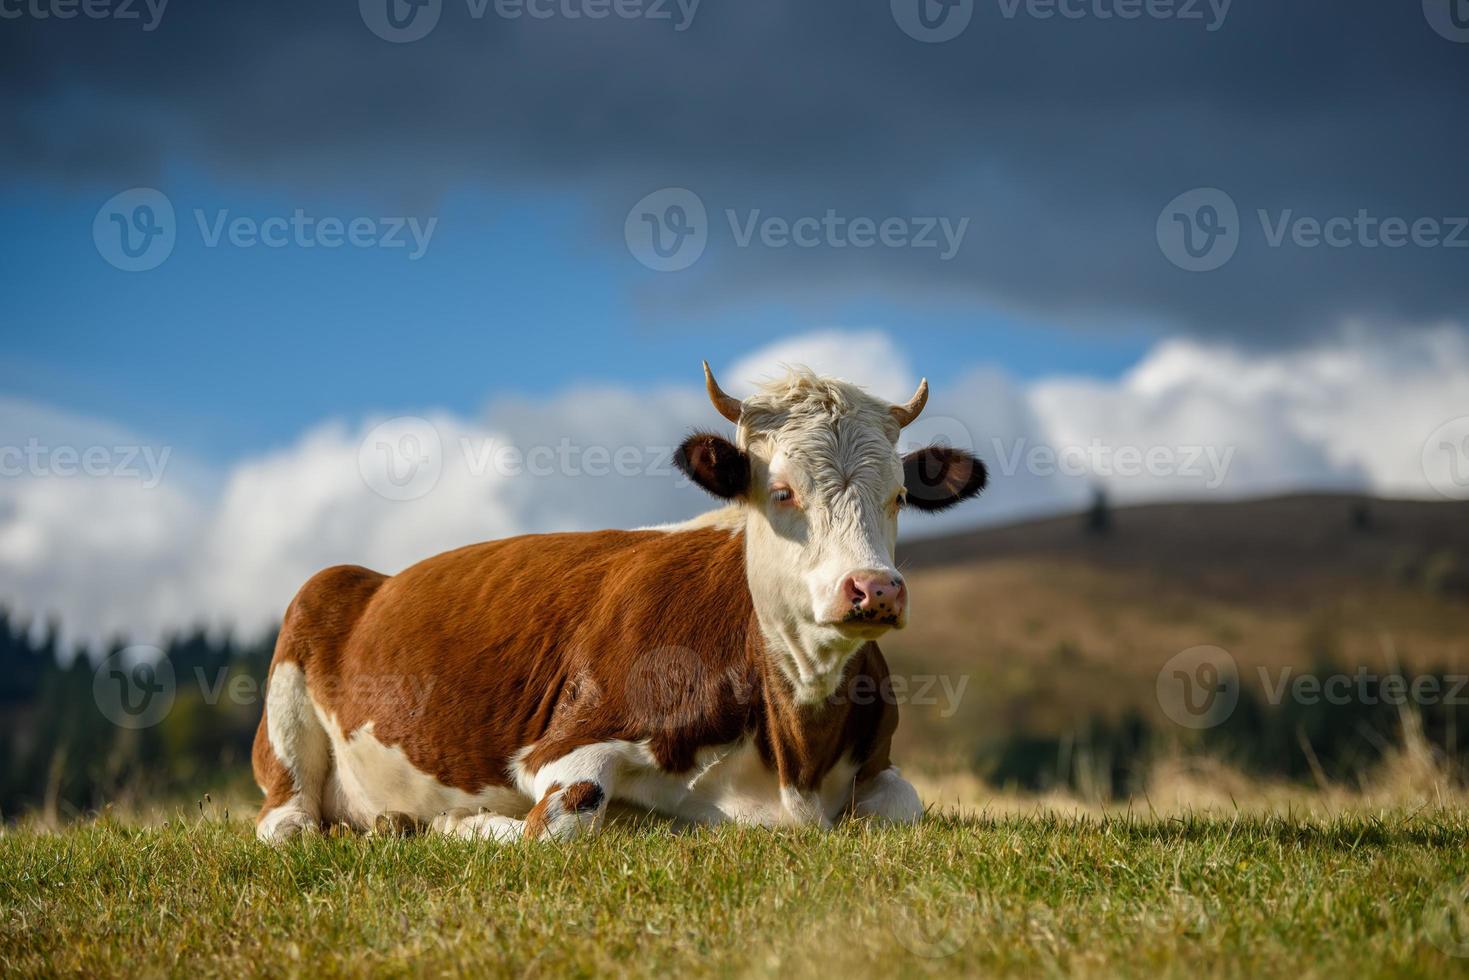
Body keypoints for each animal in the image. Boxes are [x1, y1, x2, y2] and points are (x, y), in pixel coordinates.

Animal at [252, 362, 987, 846]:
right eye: (782, 491)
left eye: (898, 496)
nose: (874, 588)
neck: (793, 758)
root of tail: (373, 577)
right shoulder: (561, 743)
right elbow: (554, 825)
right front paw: (474, 823)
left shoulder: (878, 765)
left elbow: (905, 806)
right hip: (301, 642)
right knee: (286, 820)